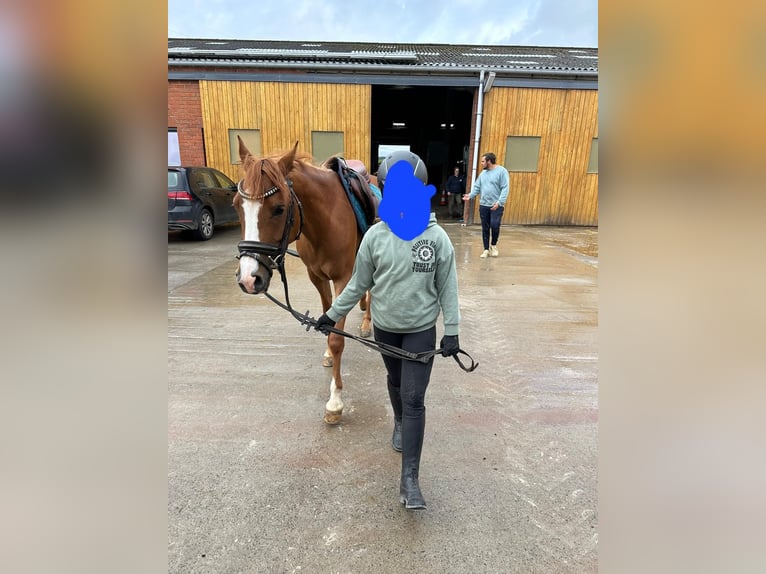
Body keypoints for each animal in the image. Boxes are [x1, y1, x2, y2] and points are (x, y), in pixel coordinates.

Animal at [237, 140, 376, 426]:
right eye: (236, 205)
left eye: (279, 208)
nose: (249, 278)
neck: (324, 220)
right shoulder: (317, 277)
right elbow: (327, 316)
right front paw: (327, 354)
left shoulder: (343, 278)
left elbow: (336, 339)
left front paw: (335, 401)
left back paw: (367, 322)